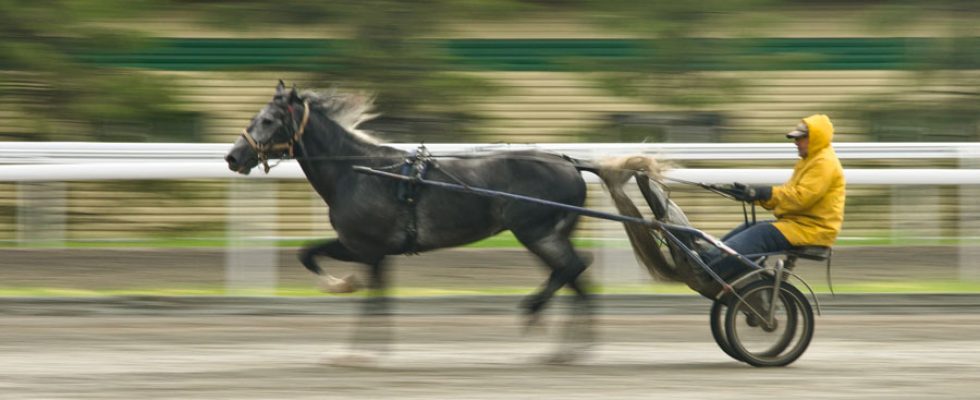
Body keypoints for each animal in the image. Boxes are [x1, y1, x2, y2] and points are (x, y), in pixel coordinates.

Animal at [226, 81, 596, 362]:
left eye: (269, 120)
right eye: (255, 116)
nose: (232, 157)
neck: (358, 172)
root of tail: (570, 163)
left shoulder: (368, 249)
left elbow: (371, 298)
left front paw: (356, 347)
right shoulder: (365, 247)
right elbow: (310, 255)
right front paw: (362, 323)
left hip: (536, 232)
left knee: (572, 268)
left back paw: (536, 313)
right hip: (548, 234)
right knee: (575, 274)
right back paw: (570, 348)